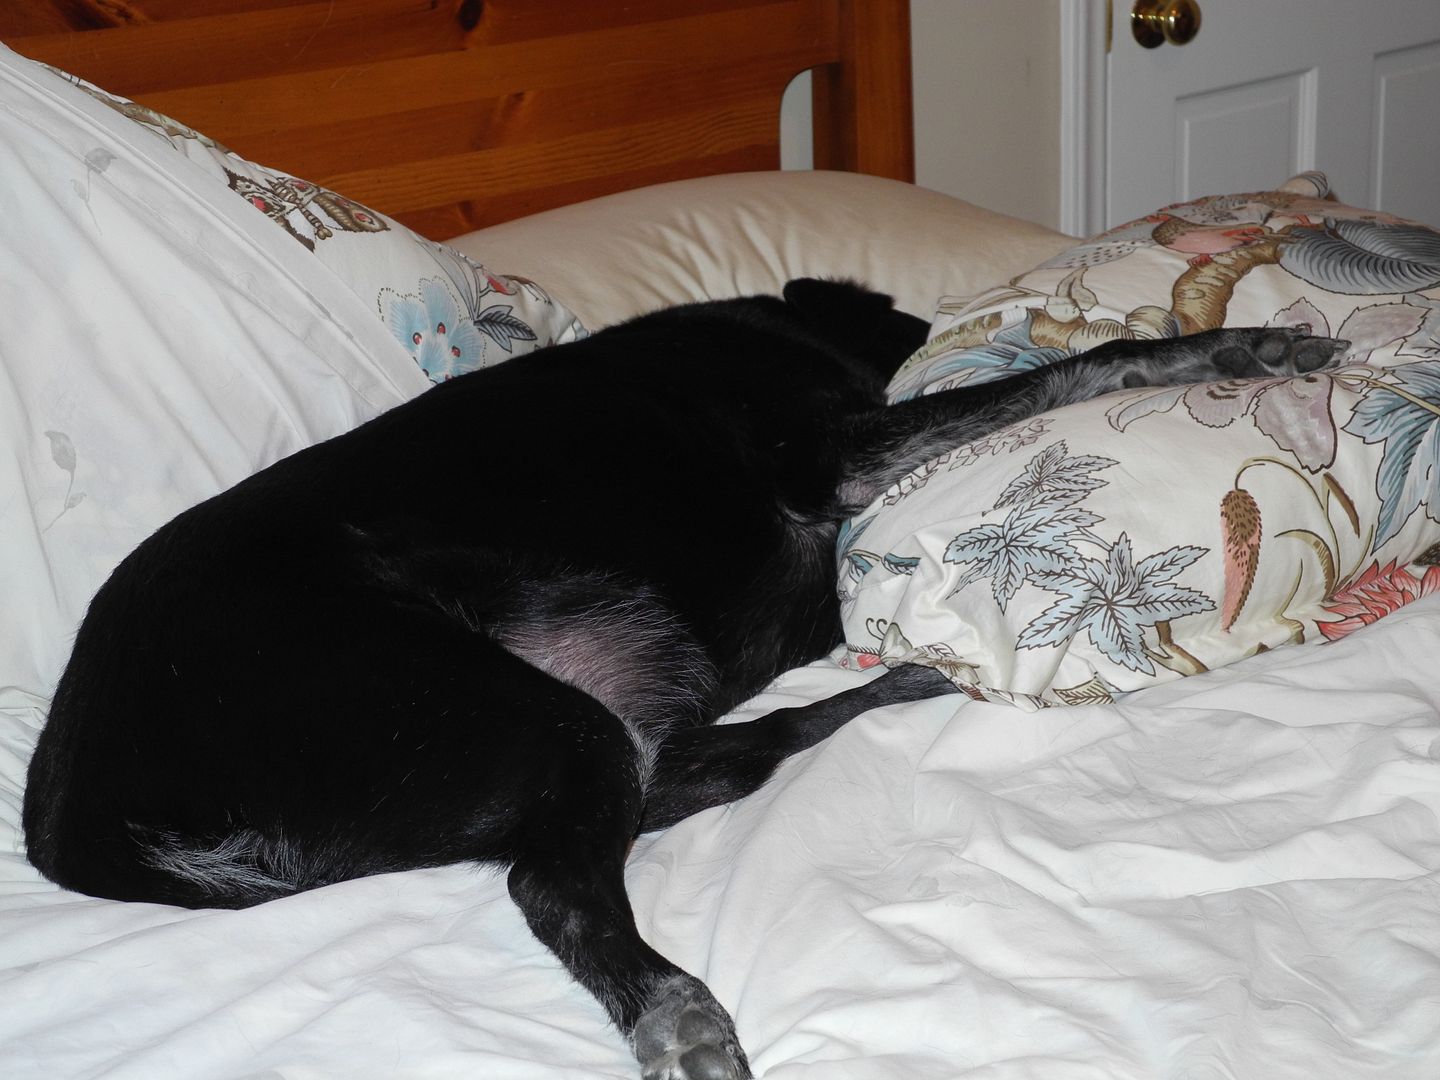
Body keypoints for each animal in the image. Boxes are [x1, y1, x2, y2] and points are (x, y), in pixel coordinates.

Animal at [22, 280, 1342, 1080]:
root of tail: (72, 807)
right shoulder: (834, 452)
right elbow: (1074, 369)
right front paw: (1239, 345)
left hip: (583, 726)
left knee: (713, 769)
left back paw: (896, 686)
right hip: (516, 714)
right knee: (555, 883)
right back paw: (680, 1008)